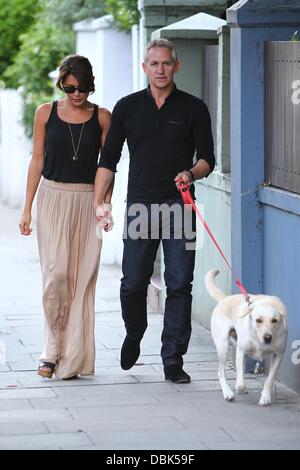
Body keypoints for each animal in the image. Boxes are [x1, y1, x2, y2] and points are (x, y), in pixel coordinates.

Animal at [205, 270, 288, 406]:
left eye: (274, 320)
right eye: (258, 320)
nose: (267, 337)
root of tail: (225, 298)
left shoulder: (279, 354)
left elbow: (270, 379)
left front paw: (265, 397)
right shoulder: (241, 351)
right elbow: (240, 383)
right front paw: (240, 389)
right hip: (223, 346)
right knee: (221, 372)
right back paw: (227, 392)